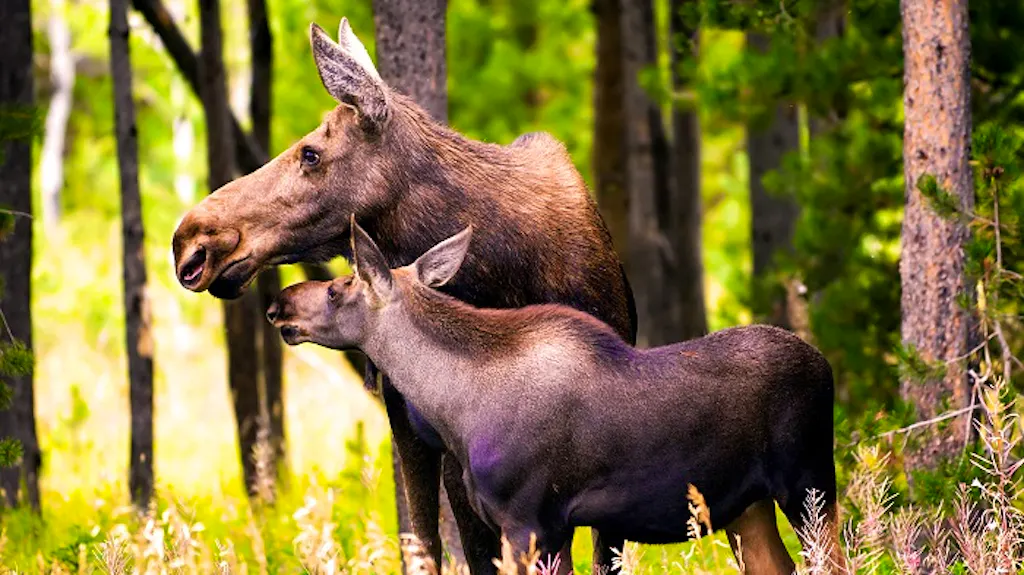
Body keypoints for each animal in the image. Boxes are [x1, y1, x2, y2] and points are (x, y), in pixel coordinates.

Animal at [266, 221, 844, 575]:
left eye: (338, 288)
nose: (278, 304)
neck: (455, 407)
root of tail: (827, 367)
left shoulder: (526, 521)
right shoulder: (553, 529)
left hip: (809, 483)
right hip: (749, 507)